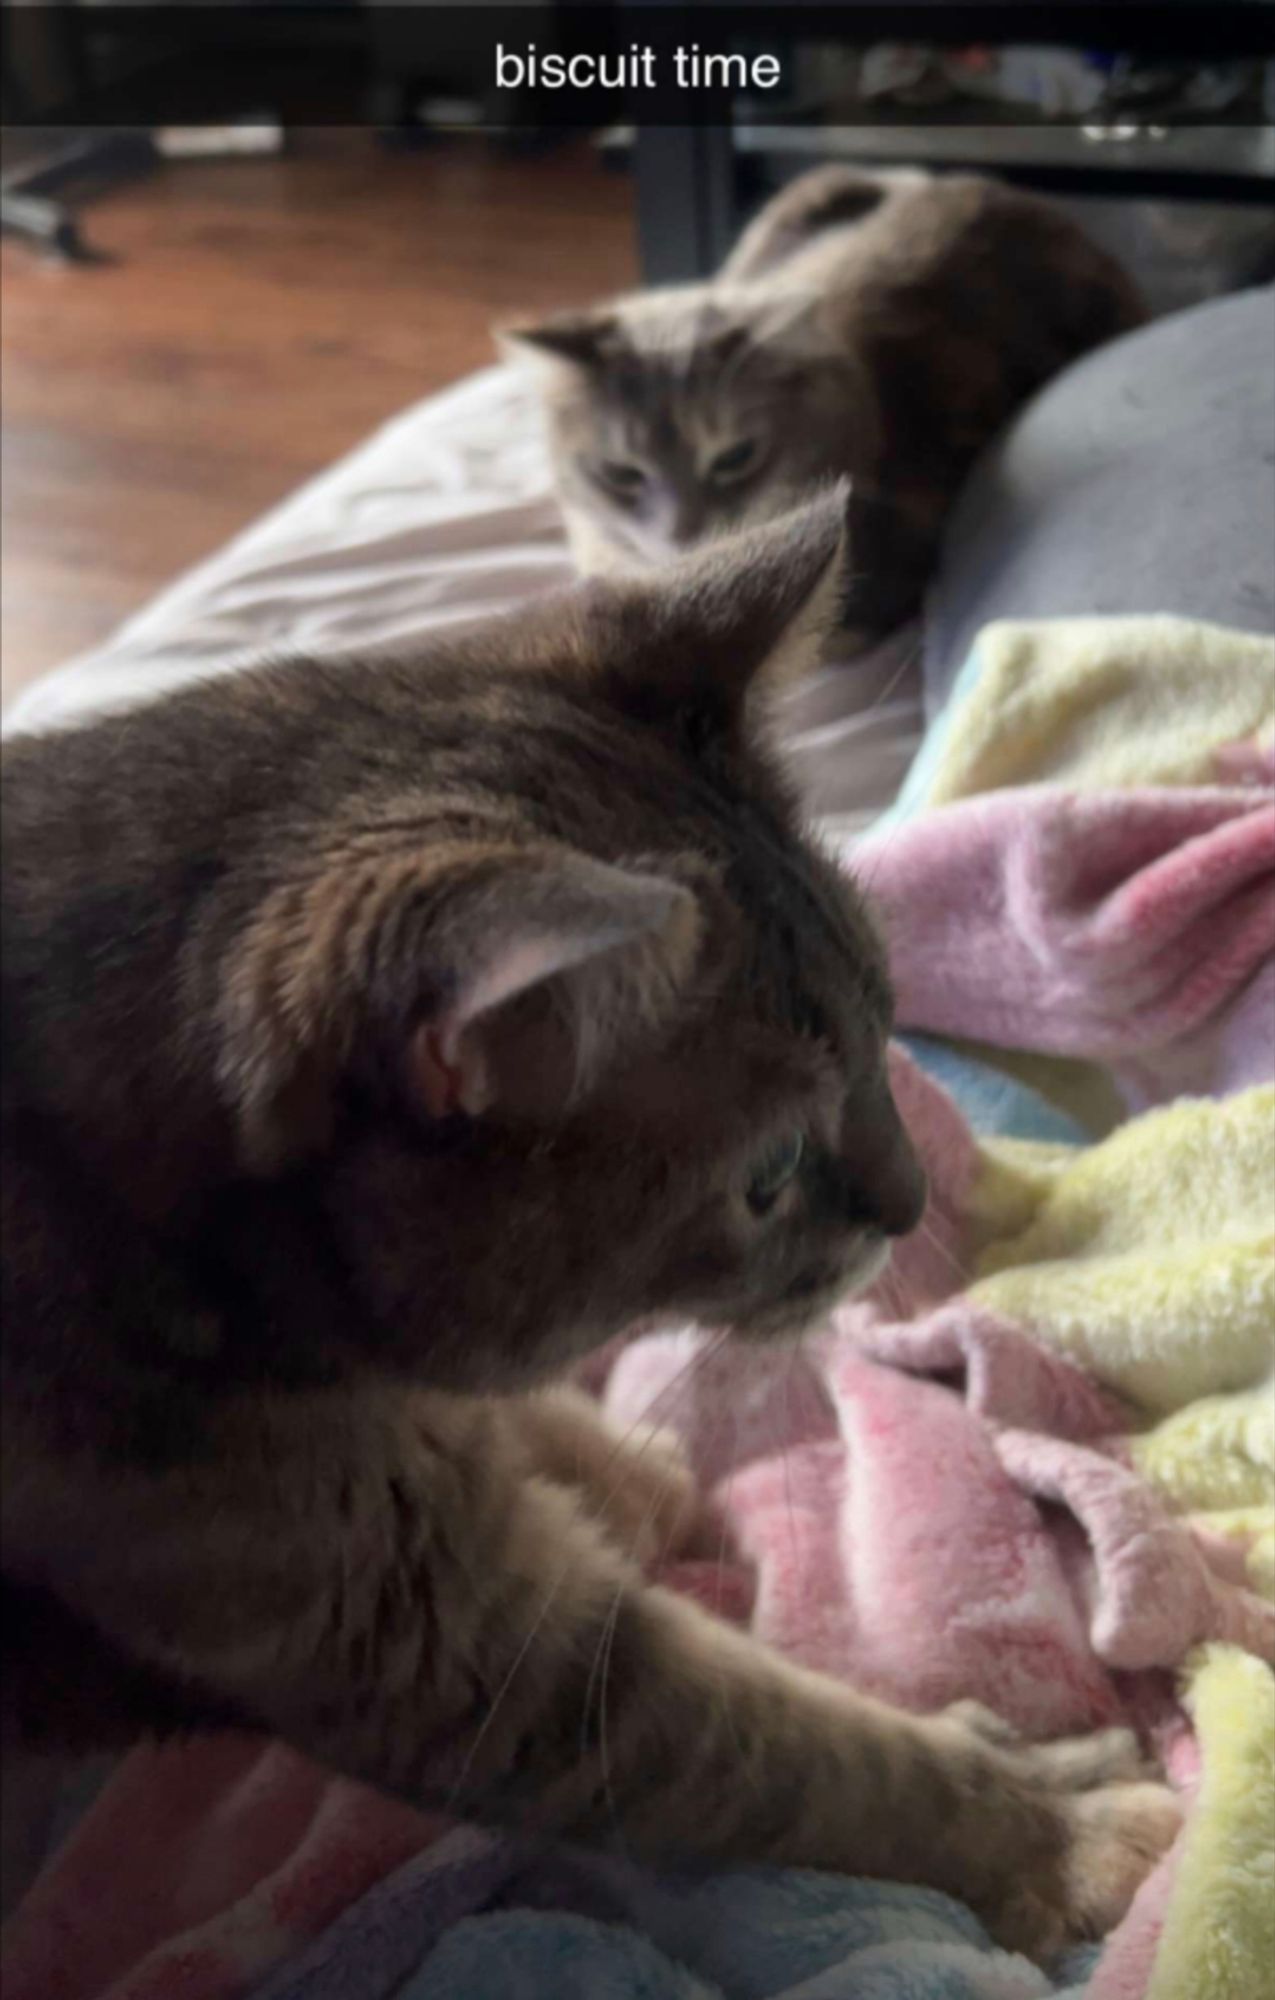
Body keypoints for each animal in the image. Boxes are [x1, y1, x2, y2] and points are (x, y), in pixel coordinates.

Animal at [0, 496, 1183, 1952]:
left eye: (887, 1020)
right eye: (767, 1169)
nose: (909, 1201)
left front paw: (608, 1468)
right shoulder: (455, 1655)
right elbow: (793, 1752)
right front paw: (1047, 1821)